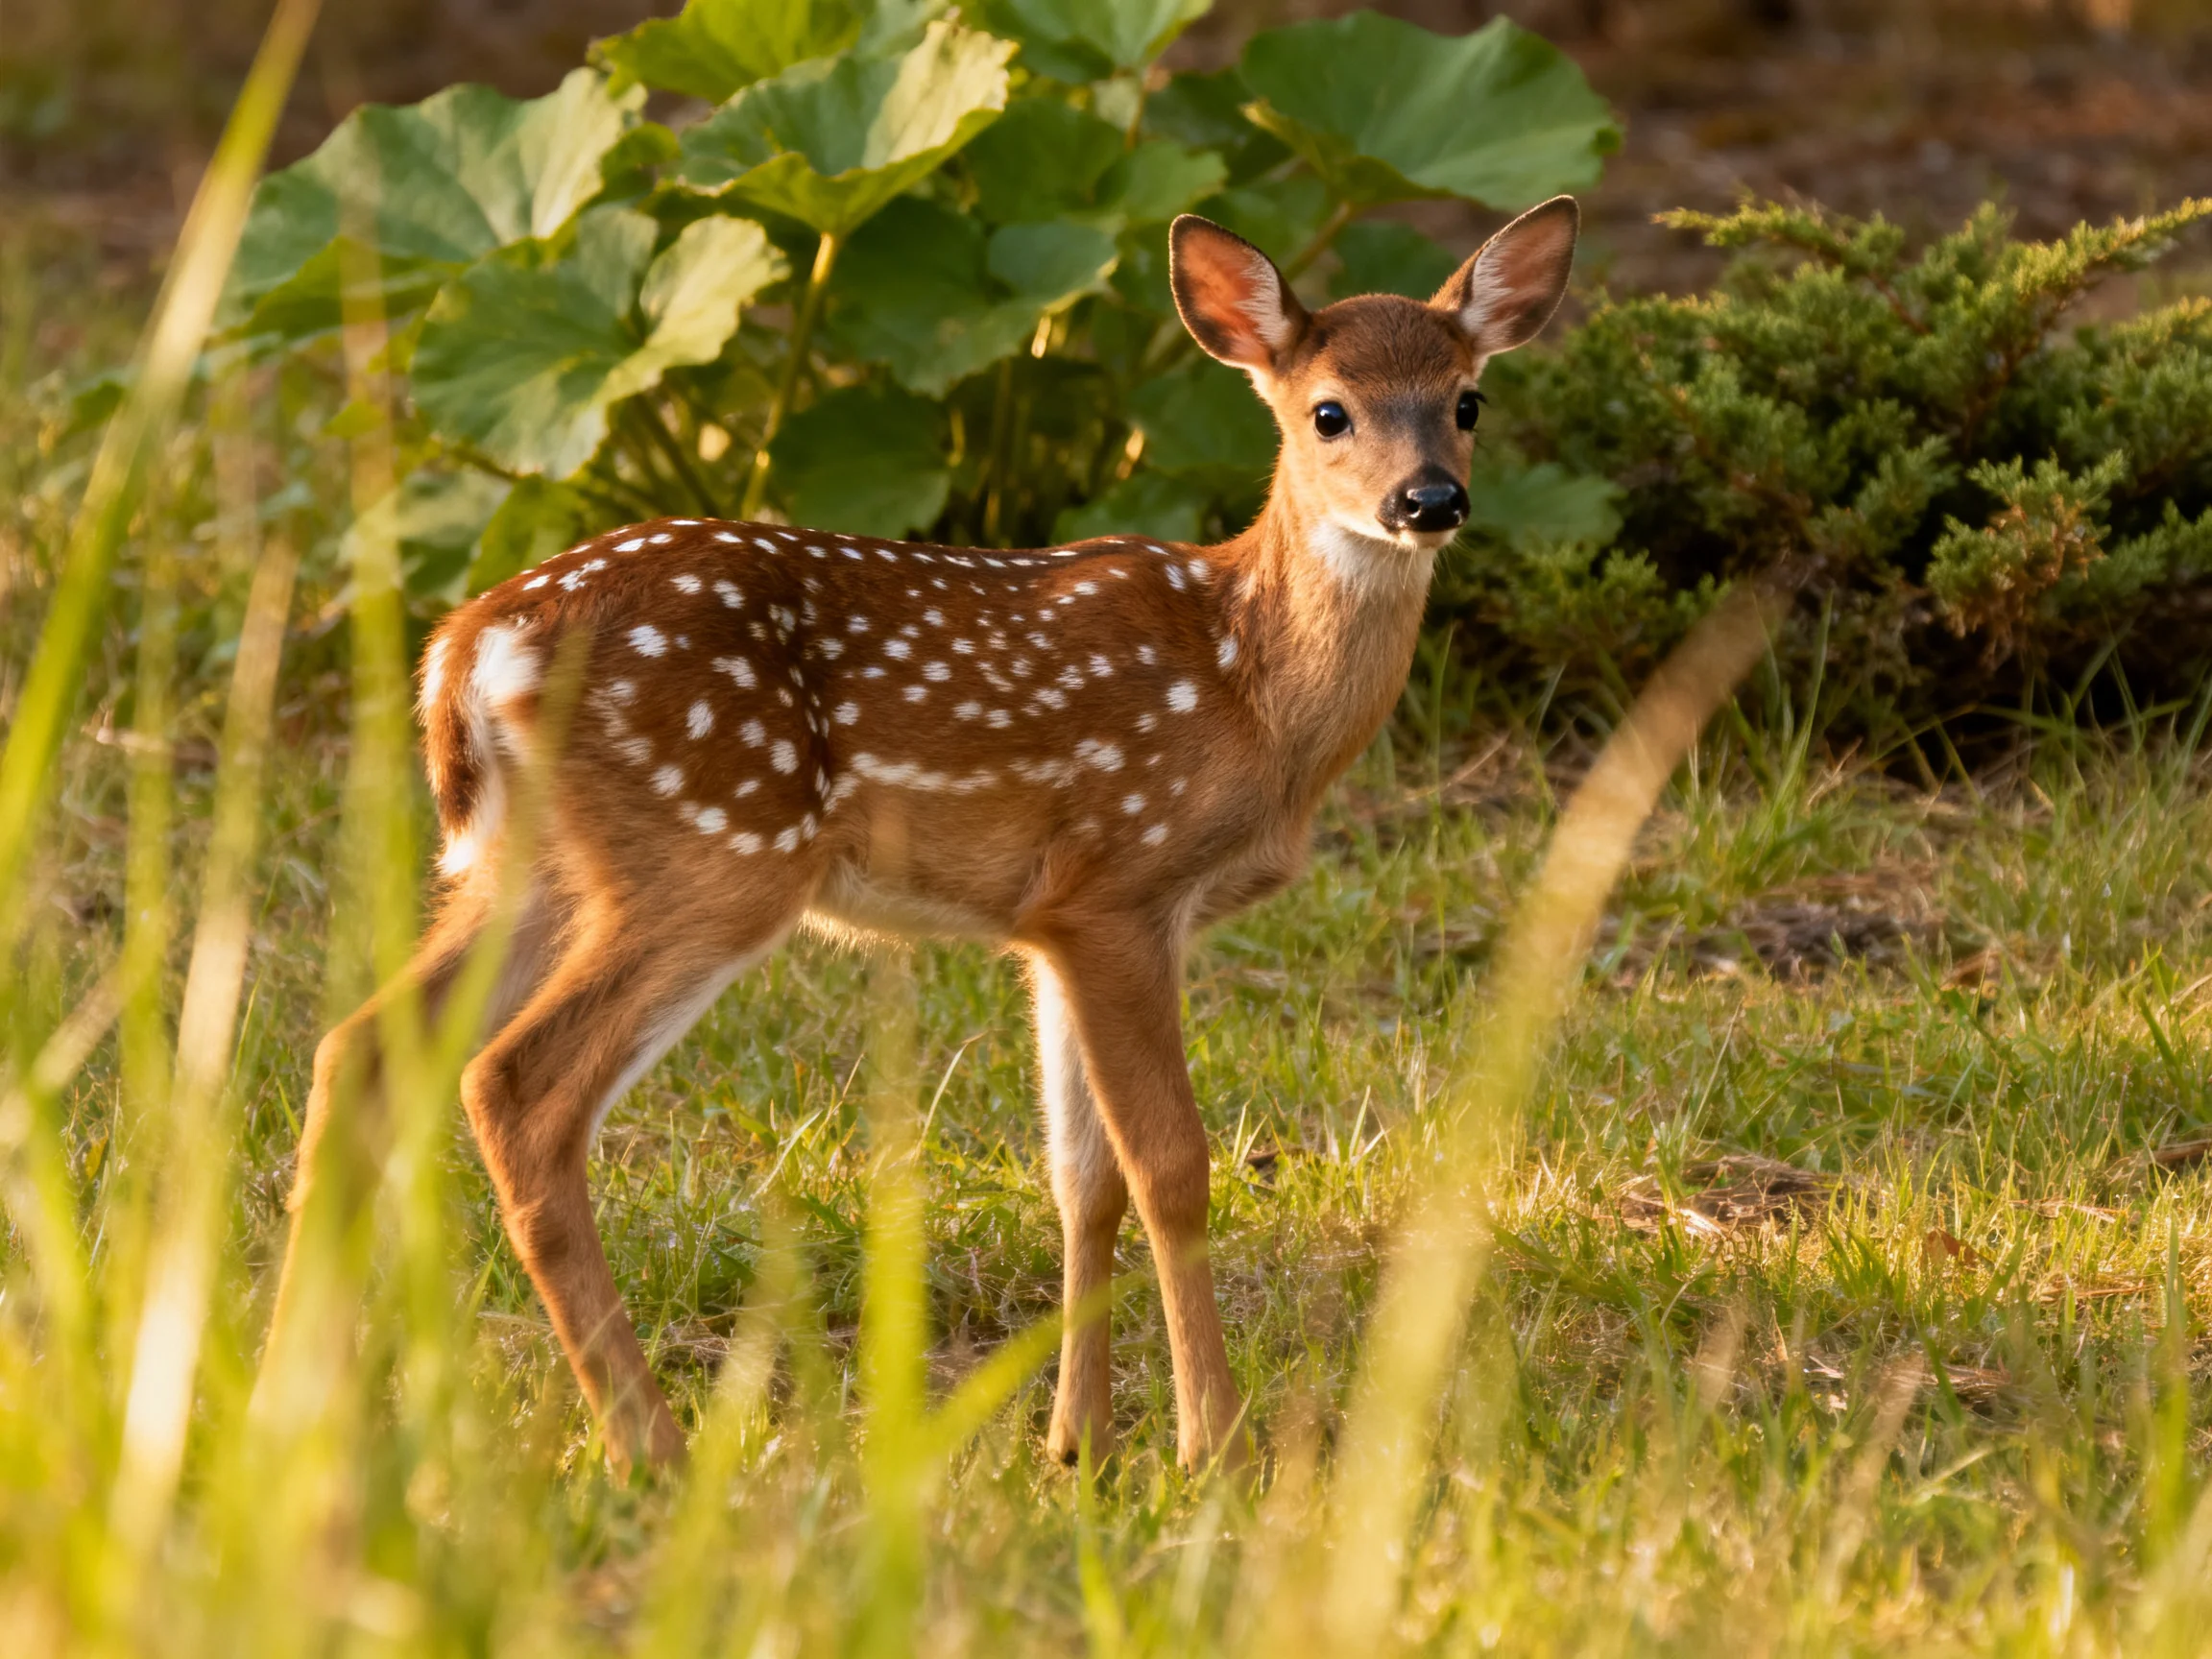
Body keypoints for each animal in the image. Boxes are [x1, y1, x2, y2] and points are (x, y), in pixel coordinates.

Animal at [263, 196, 1580, 1479]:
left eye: (1467, 400)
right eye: (1328, 412)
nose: (1429, 500)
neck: (1250, 687)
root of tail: (467, 648)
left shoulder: (1050, 929)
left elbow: (1081, 1179)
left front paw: (1079, 1447)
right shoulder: (1120, 883)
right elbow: (1171, 1168)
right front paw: (1215, 1448)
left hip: (527, 871)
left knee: (358, 1050)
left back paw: (292, 1406)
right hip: (712, 853)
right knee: (517, 1089)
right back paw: (654, 1449)